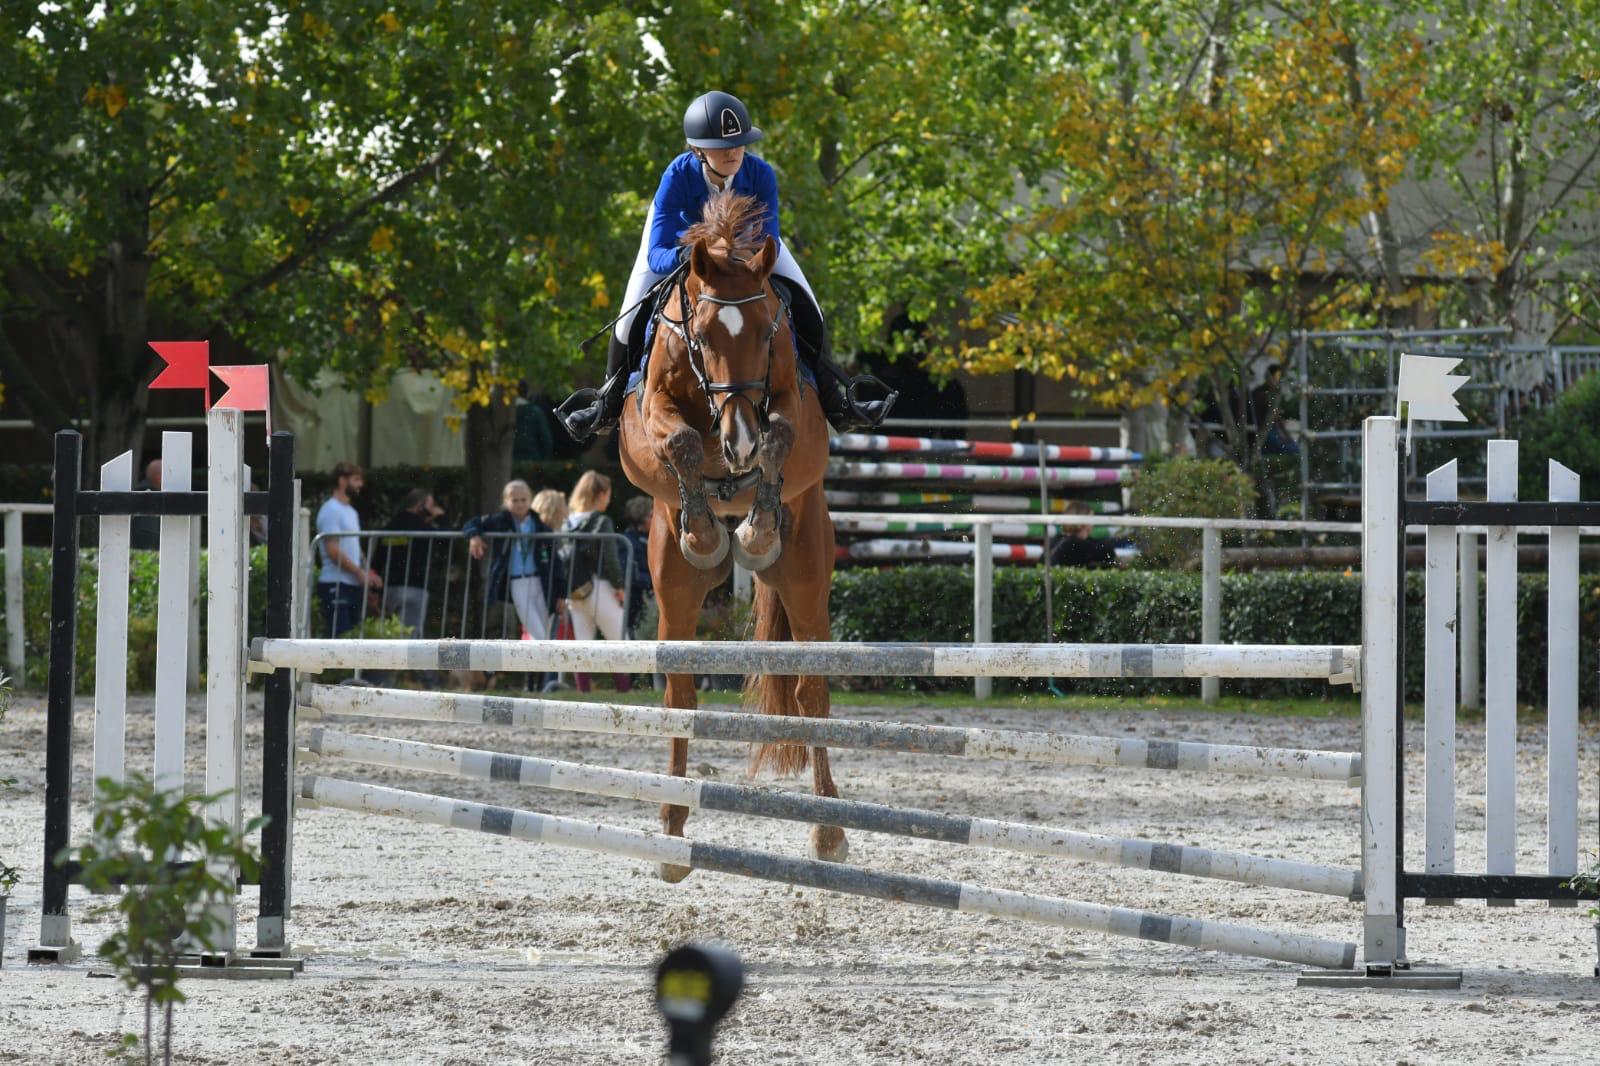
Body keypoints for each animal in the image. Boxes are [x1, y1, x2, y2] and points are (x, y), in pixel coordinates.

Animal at [617, 190, 845, 881]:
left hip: (806, 572)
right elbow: (680, 443)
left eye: (770, 329)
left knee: (811, 691)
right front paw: (703, 529)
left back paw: (829, 832)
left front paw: (759, 518)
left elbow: (781, 437)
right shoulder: (646, 420)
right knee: (680, 689)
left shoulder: (793, 408)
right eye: (703, 334)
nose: (736, 439)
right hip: (672, 585)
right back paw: (671, 828)